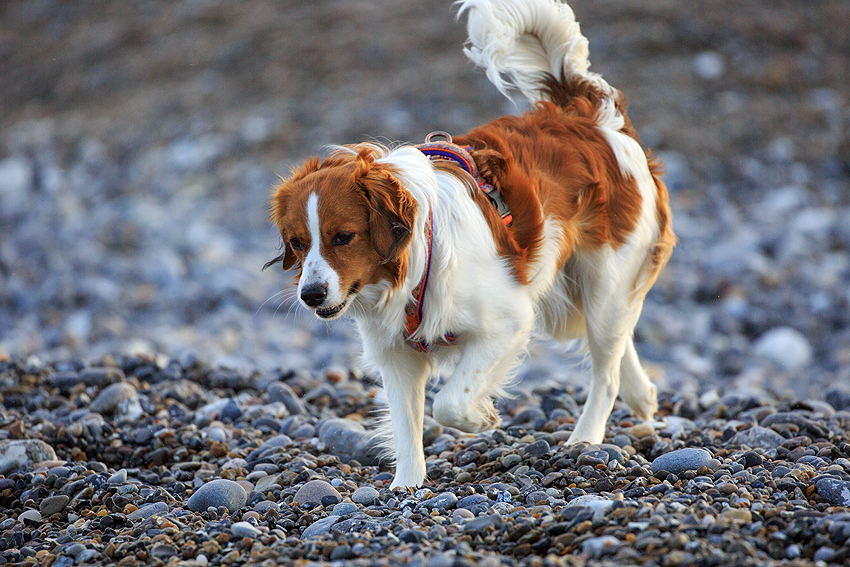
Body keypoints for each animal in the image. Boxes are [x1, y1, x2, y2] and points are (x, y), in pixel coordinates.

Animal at [264, 0, 668, 488]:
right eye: (297, 242)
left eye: (343, 237)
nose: (310, 294)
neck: (420, 260)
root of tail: (585, 114)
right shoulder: (396, 353)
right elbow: (407, 425)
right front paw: (407, 487)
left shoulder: (509, 321)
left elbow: (450, 401)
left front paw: (481, 419)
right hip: (571, 293)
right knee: (616, 341)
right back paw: (641, 394)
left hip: (603, 281)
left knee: (605, 364)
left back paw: (585, 439)